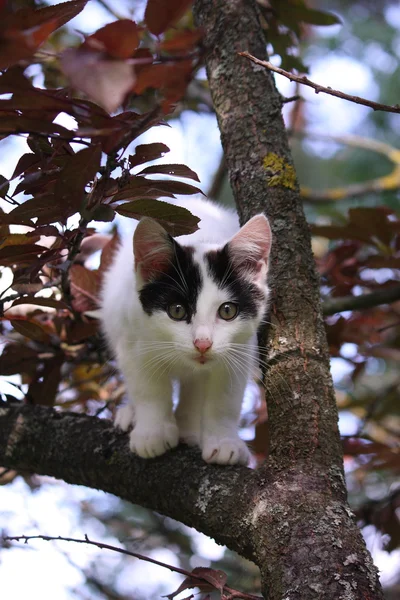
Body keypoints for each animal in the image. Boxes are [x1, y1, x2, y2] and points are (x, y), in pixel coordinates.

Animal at [101, 199, 272, 466]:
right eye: (177, 310)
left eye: (227, 311)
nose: (202, 343)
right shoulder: (132, 336)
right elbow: (146, 386)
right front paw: (152, 432)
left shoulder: (240, 347)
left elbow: (225, 397)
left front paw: (224, 441)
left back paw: (188, 428)